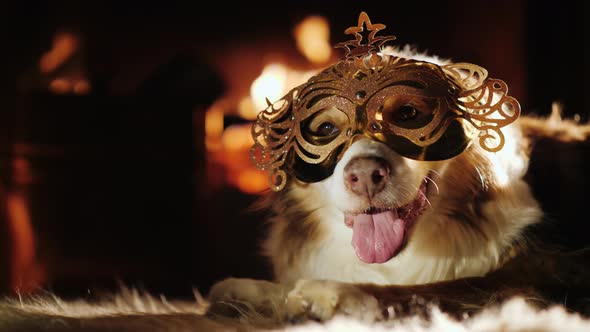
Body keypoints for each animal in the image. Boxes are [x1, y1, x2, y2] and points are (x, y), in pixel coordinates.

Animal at [206, 12, 588, 322]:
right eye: (326, 129)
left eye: (407, 114)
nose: (365, 176)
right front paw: (250, 292)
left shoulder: (545, 274)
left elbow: (444, 288)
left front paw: (335, 294)